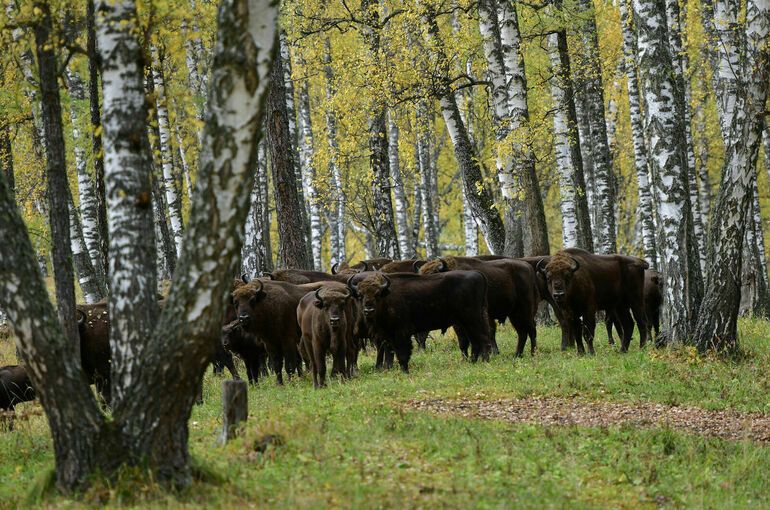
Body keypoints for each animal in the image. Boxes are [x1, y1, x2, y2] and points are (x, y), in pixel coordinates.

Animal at [346, 270, 488, 370]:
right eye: (360, 295)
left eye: (377, 294)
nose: (368, 310)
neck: (387, 296)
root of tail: (478, 275)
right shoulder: (387, 335)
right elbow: (391, 354)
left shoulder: (401, 333)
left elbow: (402, 354)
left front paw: (405, 371)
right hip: (465, 322)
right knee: (475, 341)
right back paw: (473, 362)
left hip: (472, 319)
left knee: (482, 338)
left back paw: (485, 361)